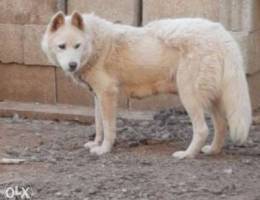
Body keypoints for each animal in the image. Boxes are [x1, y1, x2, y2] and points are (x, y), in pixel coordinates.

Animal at [41, 11, 251, 159]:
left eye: (77, 46)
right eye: (62, 46)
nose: (72, 65)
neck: (95, 44)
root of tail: (222, 34)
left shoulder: (108, 94)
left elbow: (108, 127)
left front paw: (104, 149)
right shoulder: (97, 96)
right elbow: (99, 125)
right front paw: (96, 143)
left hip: (189, 96)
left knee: (202, 130)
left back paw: (187, 154)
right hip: (212, 99)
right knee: (221, 125)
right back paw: (213, 150)